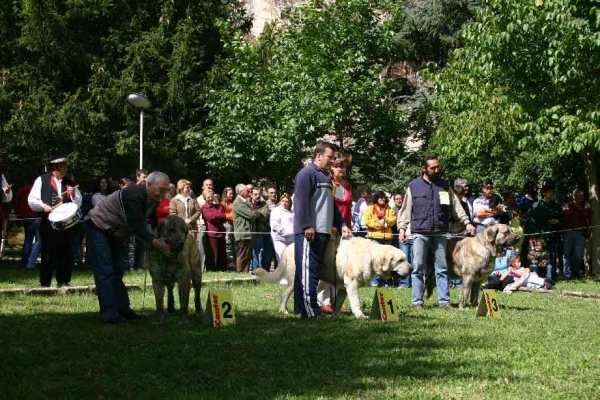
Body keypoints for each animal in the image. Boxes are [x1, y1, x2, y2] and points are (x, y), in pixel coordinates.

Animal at [253, 238, 412, 318]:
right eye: (400, 260)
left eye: (405, 259)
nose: (412, 269)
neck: (370, 256)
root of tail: (289, 247)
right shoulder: (351, 284)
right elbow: (356, 302)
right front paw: (360, 315)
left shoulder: (343, 287)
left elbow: (338, 302)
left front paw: (336, 314)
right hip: (296, 280)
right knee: (284, 294)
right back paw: (284, 311)